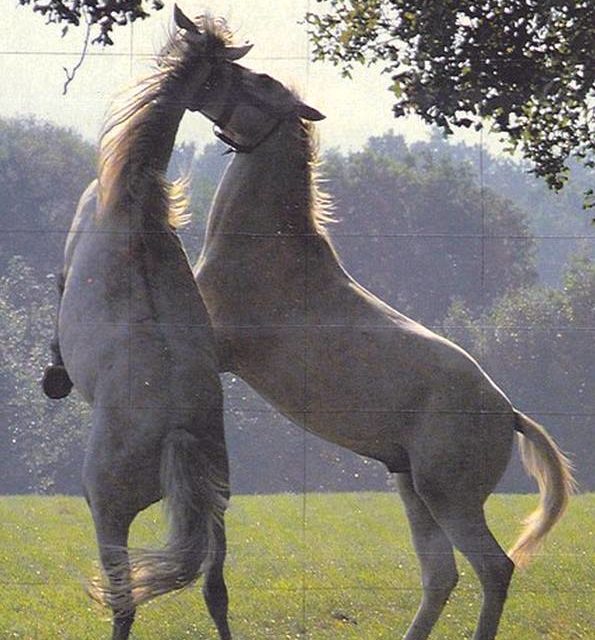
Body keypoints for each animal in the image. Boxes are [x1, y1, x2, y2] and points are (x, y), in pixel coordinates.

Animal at [50, 7, 253, 639]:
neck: (133, 200)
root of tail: (174, 432)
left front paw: (53, 375)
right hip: (215, 504)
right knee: (216, 588)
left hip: (107, 508)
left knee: (123, 598)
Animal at [193, 66, 576, 640]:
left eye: (260, 81)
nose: (211, 74)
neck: (263, 250)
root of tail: (509, 413)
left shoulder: (215, 344)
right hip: (414, 491)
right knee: (442, 576)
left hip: (448, 497)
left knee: (494, 568)